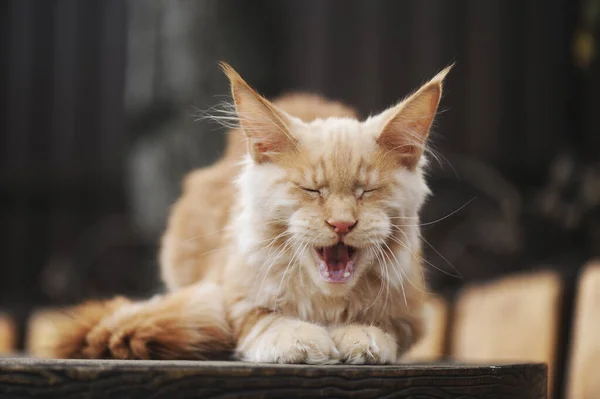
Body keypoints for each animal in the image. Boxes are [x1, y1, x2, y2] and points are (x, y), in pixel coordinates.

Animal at [38, 63, 450, 366]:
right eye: (311, 190)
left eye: (366, 191)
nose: (342, 223)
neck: (326, 304)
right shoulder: (232, 292)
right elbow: (261, 320)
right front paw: (301, 338)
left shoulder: (412, 310)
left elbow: (385, 325)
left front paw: (361, 334)